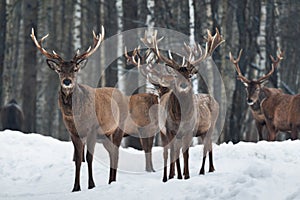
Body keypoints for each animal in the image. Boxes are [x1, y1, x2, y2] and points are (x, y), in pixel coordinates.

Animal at [31, 27, 128, 192]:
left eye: (75, 69)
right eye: (59, 70)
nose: (67, 81)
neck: (75, 115)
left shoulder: (92, 129)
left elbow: (88, 157)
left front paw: (91, 185)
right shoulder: (73, 132)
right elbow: (77, 159)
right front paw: (76, 187)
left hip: (118, 128)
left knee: (116, 153)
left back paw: (113, 181)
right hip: (105, 135)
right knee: (112, 152)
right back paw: (110, 181)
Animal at [127, 28, 224, 182]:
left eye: (189, 75)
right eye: (176, 75)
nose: (183, 85)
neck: (180, 116)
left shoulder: (189, 130)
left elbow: (185, 153)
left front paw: (186, 175)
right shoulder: (170, 130)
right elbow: (174, 153)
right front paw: (175, 175)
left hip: (211, 126)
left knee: (206, 147)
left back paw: (206, 170)